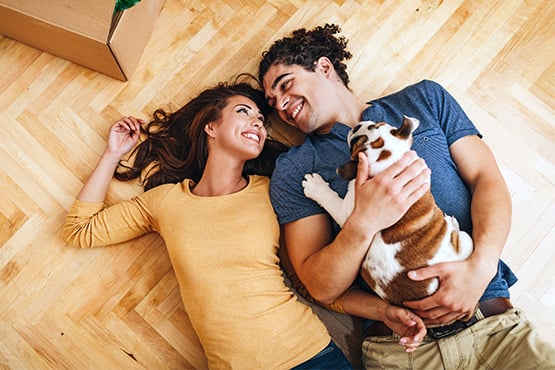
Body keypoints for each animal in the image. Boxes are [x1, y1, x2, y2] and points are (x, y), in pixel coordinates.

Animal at [304, 116, 474, 306]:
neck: (389, 165)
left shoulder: (347, 211)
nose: (356, 127)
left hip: (466, 240)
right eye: (374, 125)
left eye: (356, 142)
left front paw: (314, 186)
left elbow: (329, 198)